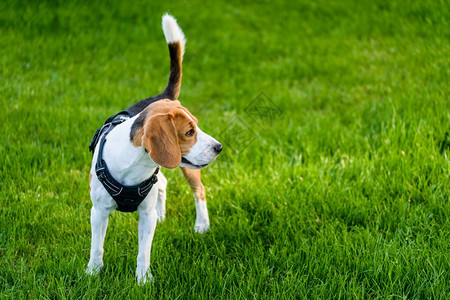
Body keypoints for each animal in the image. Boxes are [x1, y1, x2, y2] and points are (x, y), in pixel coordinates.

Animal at [85, 14, 221, 284]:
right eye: (189, 132)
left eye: (197, 126)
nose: (219, 147)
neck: (134, 168)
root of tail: (161, 94)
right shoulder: (99, 212)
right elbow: (97, 246)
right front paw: (93, 272)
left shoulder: (145, 217)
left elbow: (143, 251)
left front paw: (143, 280)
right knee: (163, 183)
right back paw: (163, 213)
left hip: (188, 169)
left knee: (199, 191)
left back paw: (201, 225)